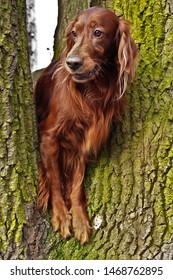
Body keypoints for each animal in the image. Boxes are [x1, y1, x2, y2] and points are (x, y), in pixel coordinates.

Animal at [35, 6, 137, 243]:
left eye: (97, 32)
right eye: (74, 32)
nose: (72, 62)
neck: (90, 91)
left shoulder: (84, 142)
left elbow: (76, 184)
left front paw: (80, 220)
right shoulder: (48, 137)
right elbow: (56, 179)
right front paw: (62, 216)